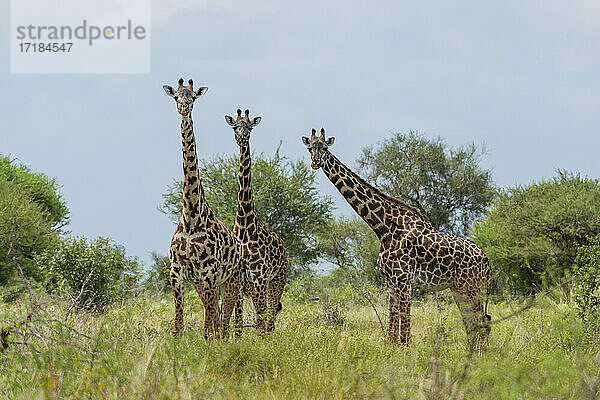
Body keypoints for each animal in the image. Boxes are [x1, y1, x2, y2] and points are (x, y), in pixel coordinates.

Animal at [163, 79, 243, 340]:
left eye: (193, 98)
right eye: (176, 97)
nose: (184, 108)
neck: (190, 213)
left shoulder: (209, 273)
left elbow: (209, 329)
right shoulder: (177, 273)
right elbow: (178, 327)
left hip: (231, 280)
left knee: (225, 322)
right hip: (204, 284)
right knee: (218, 318)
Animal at [226, 108, 290, 332]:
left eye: (250, 127)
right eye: (235, 127)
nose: (242, 137)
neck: (245, 223)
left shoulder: (260, 277)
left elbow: (261, 322)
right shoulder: (241, 279)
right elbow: (238, 323)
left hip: (277, 279)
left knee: (269, 320)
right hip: (254, 286)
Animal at [302, 130, 490, 348]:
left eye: (325, 148)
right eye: (310, 148)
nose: (315, 162)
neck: (383, 228)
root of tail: (486, 260)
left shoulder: (405, 280)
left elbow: (405, 329)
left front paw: (406, 350)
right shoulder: (391, 280)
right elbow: (393, 325)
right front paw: (391, 348)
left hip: (471, 286)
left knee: (482, 322)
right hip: (458, 288)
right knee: (472, 323)